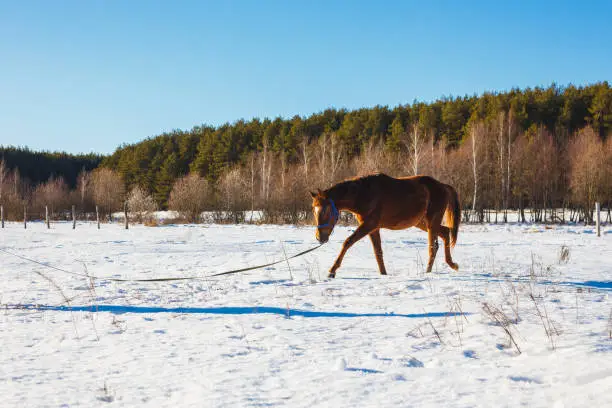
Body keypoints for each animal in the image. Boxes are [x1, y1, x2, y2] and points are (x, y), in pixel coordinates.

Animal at [310, 174, 460, 278]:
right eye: (313, 210)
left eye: (326, 210)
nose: (319, 237)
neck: (364, 194)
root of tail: (443, 186)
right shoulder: (373, 229)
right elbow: (378, 252)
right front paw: (383, 274)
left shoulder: (369, 225)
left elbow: (347, 242)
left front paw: (332, 271)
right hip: (424, 223)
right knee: (445, 233)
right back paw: (452, 264)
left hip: (431, 223)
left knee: (433, 247)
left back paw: (428, 272)